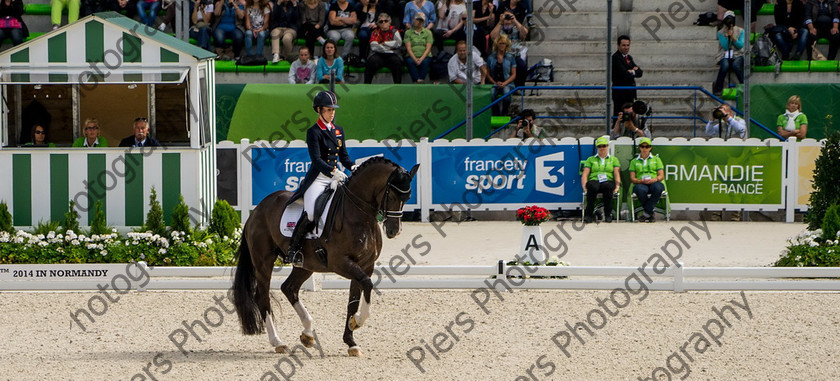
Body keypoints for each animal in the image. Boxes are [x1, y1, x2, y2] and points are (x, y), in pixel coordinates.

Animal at [231, 156, 418, 354]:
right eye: (391, 196)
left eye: (408, 198)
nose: (394, 231)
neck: (358, 213)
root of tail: (258, 209)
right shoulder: (340, 263)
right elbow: (367, 285)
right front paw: (357, 322)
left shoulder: (365, 266)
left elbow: (354, 300)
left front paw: (351, 341)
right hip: (263, 262)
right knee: (263, 296)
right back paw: (278, 342)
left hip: (306, 264)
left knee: (289, 288)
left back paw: (307, 333)